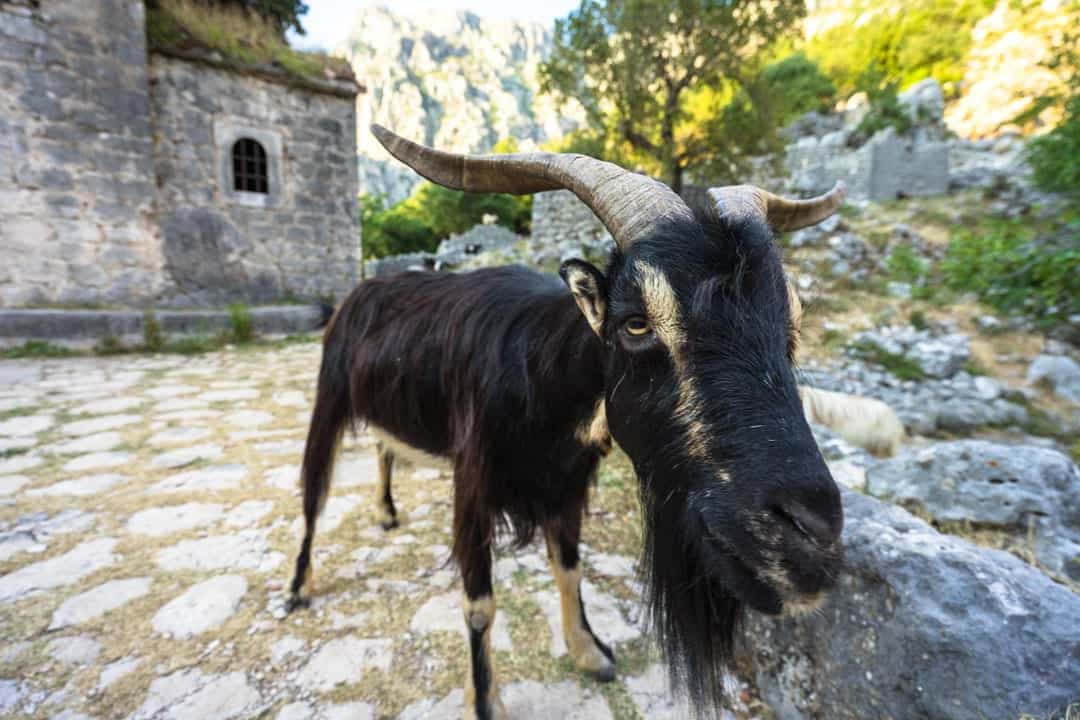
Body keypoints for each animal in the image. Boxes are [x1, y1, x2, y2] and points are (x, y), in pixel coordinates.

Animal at [287, 125, 847, 719]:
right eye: (636, 323)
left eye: (791, 321)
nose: (808, 538)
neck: (538, 382)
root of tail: (359, 291)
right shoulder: (473, 482)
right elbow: (479, 603)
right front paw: (484, 702)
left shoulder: (567, 484)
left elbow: (570, 567)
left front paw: (590, 652)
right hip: (328, 395)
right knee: (314, 492)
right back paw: (297, 586)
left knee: (383, 446)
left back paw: (387, 512)